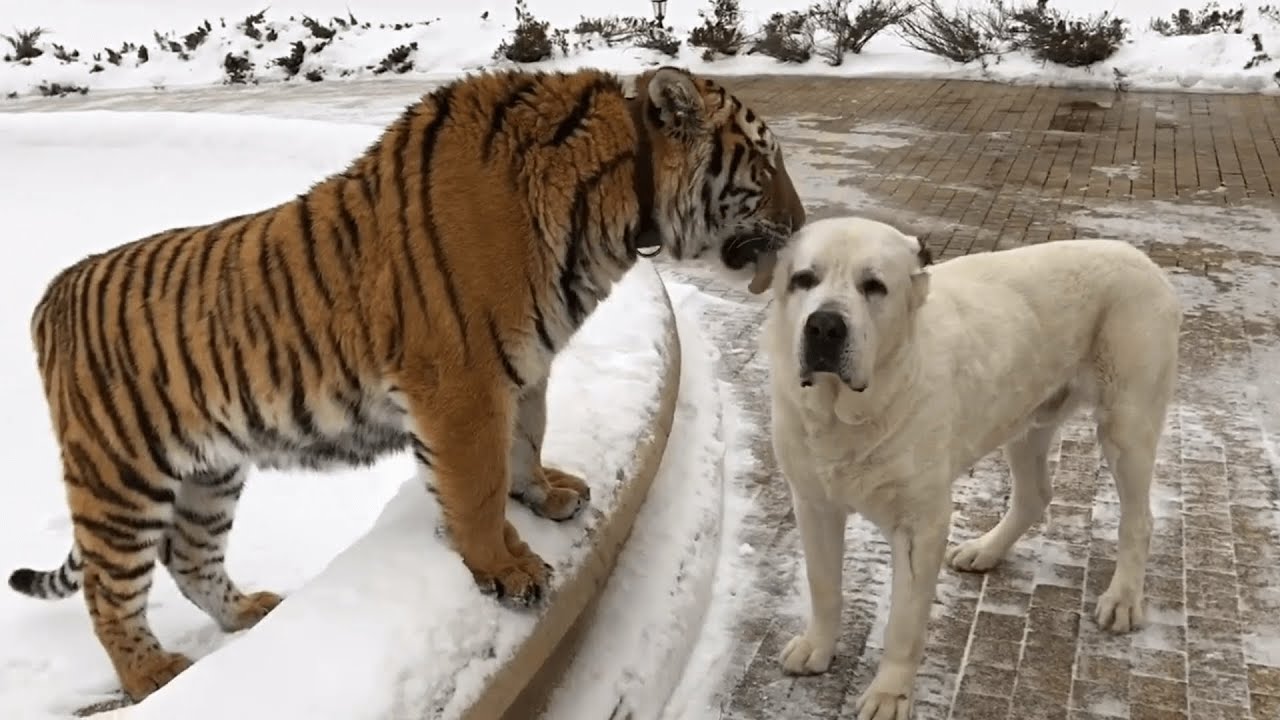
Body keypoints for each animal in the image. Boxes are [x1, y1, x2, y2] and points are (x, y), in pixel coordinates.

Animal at [10, 64, 803, 696]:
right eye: (765, 168)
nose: (800, 226)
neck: (608, 207)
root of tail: (52, 293)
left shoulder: (524, 368)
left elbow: (526, 440)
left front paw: (545, 494)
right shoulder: (462, 384)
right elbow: (477, 486)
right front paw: (506, 568)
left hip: (210, 472)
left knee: (189, 557)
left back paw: (248, 612)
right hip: (121, 477)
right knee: (109, 593)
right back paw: (152, 674)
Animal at [757, 215, 1177, 712]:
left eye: (874, 286)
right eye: (804, 279)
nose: (824, 326)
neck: (848, 414)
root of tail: (1143, 258)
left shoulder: (921, 525)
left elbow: (903, 624)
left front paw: (889, 693)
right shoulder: (813, 503)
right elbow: (823, 586)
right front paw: (817, 647)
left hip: (1127, 426)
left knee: (1138, 520)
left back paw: (1123, 597)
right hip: (1026, 420)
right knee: (1036, 496)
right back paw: (985, 550)